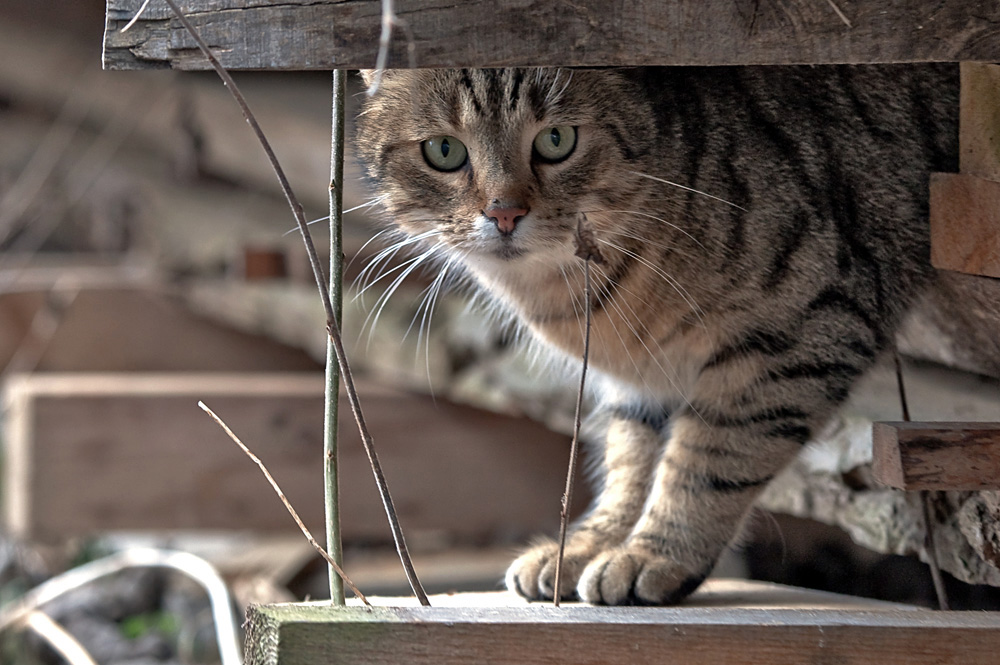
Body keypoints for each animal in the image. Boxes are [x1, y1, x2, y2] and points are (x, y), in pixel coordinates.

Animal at [356, 66, 956, 600]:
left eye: (556, 139)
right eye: (444, 151)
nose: (504, 213)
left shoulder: (807, 327)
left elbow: (710, 456)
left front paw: (654, 554)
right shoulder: (640, 378)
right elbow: (631, 459)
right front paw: (589, 545)